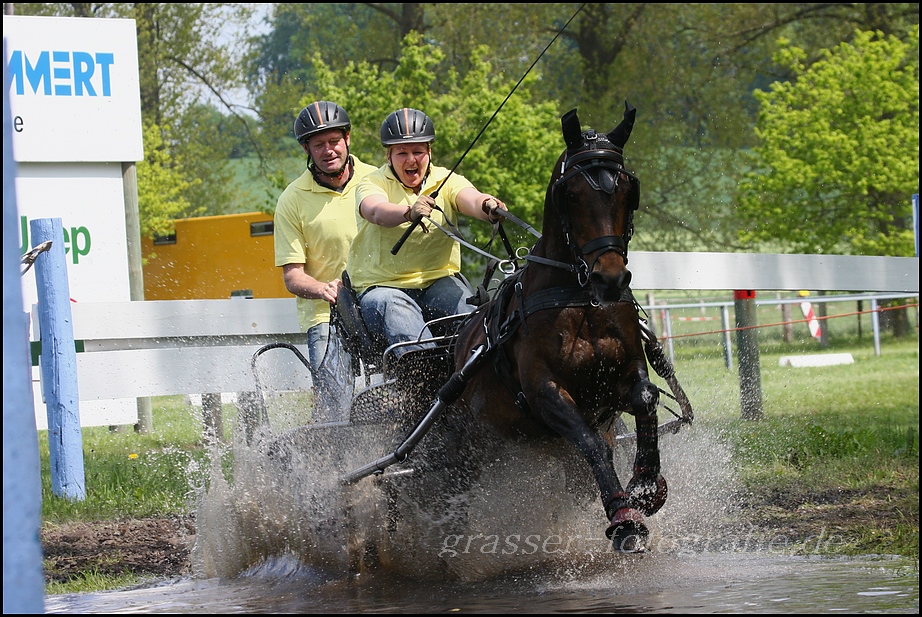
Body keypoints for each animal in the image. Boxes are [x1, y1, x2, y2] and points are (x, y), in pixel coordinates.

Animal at [450, 103, 680, 552]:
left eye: (628, 192)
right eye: (571, 195)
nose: (610, 279)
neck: (579, 298)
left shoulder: (622, 374)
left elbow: (645, 398)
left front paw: (645, 485)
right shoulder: (545, 392)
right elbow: (590, 442)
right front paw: (624, 518)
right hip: (471, 449)